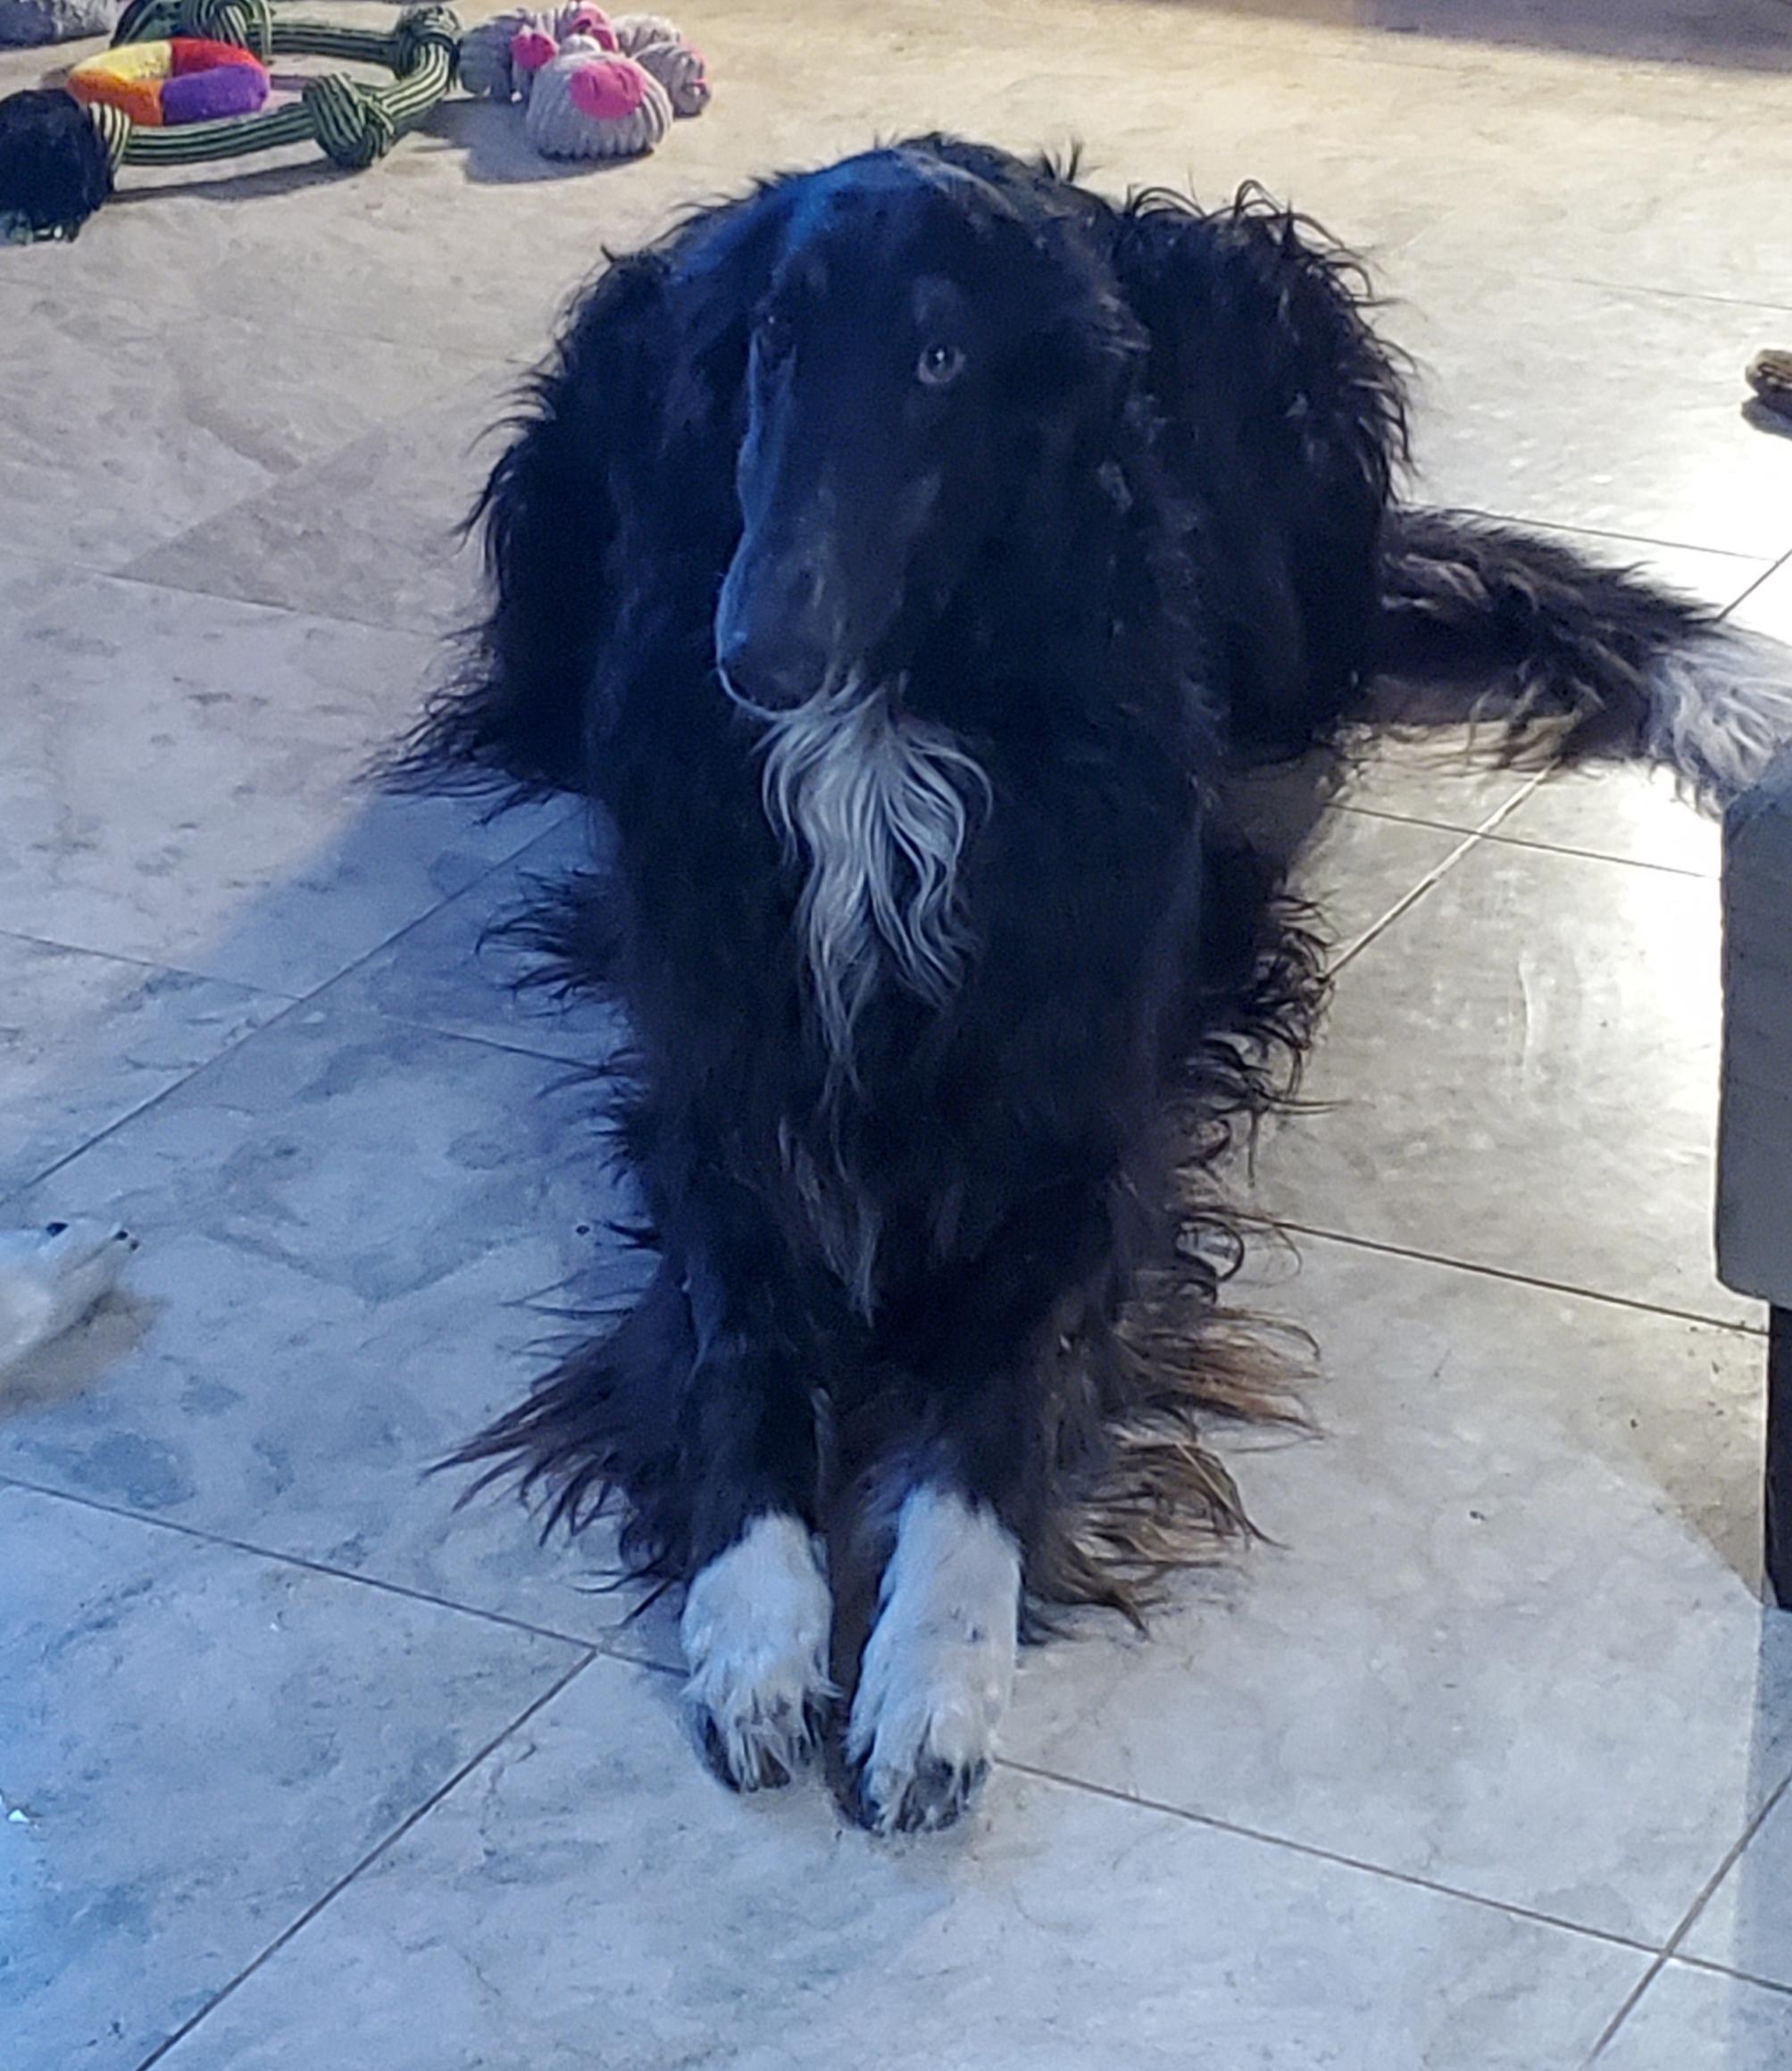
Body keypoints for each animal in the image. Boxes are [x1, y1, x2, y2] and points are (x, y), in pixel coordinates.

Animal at [389, 137, 1792, 1834]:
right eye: (772, 340)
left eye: (939, 360)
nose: (754, 655)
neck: (889, 728)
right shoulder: (721, 1095)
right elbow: (739, 1359)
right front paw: (755, 1639)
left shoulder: (1081, 1136)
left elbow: (993, 1404)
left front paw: (928, 1685)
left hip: (1280, 350)